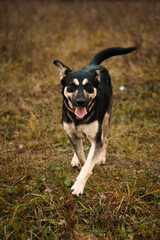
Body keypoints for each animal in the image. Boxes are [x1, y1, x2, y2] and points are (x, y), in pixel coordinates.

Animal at [53, 47, 136, 197]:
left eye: (89, 86)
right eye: (71, 86)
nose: (80, 102)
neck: (78, 119)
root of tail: (93, 65)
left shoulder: (96, 139)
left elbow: (88, 163)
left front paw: (79, 185)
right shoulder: (71, 134)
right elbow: (82, 157)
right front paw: (80, 162)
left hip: (106, 118)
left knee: (105, 139)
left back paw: (101, 157)